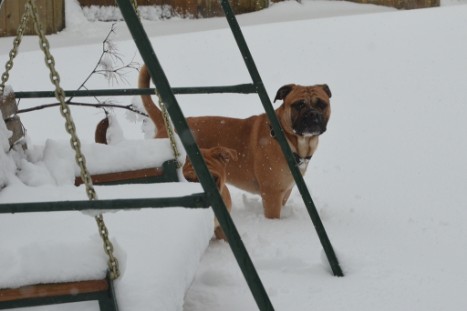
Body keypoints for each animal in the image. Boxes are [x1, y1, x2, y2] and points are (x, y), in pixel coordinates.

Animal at [140, 64, 332, 219]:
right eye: (298, 105)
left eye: (321, 104)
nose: (313, 115)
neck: (286, 138)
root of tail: (164, 123)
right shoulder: (272, 194)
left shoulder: (284, 191)